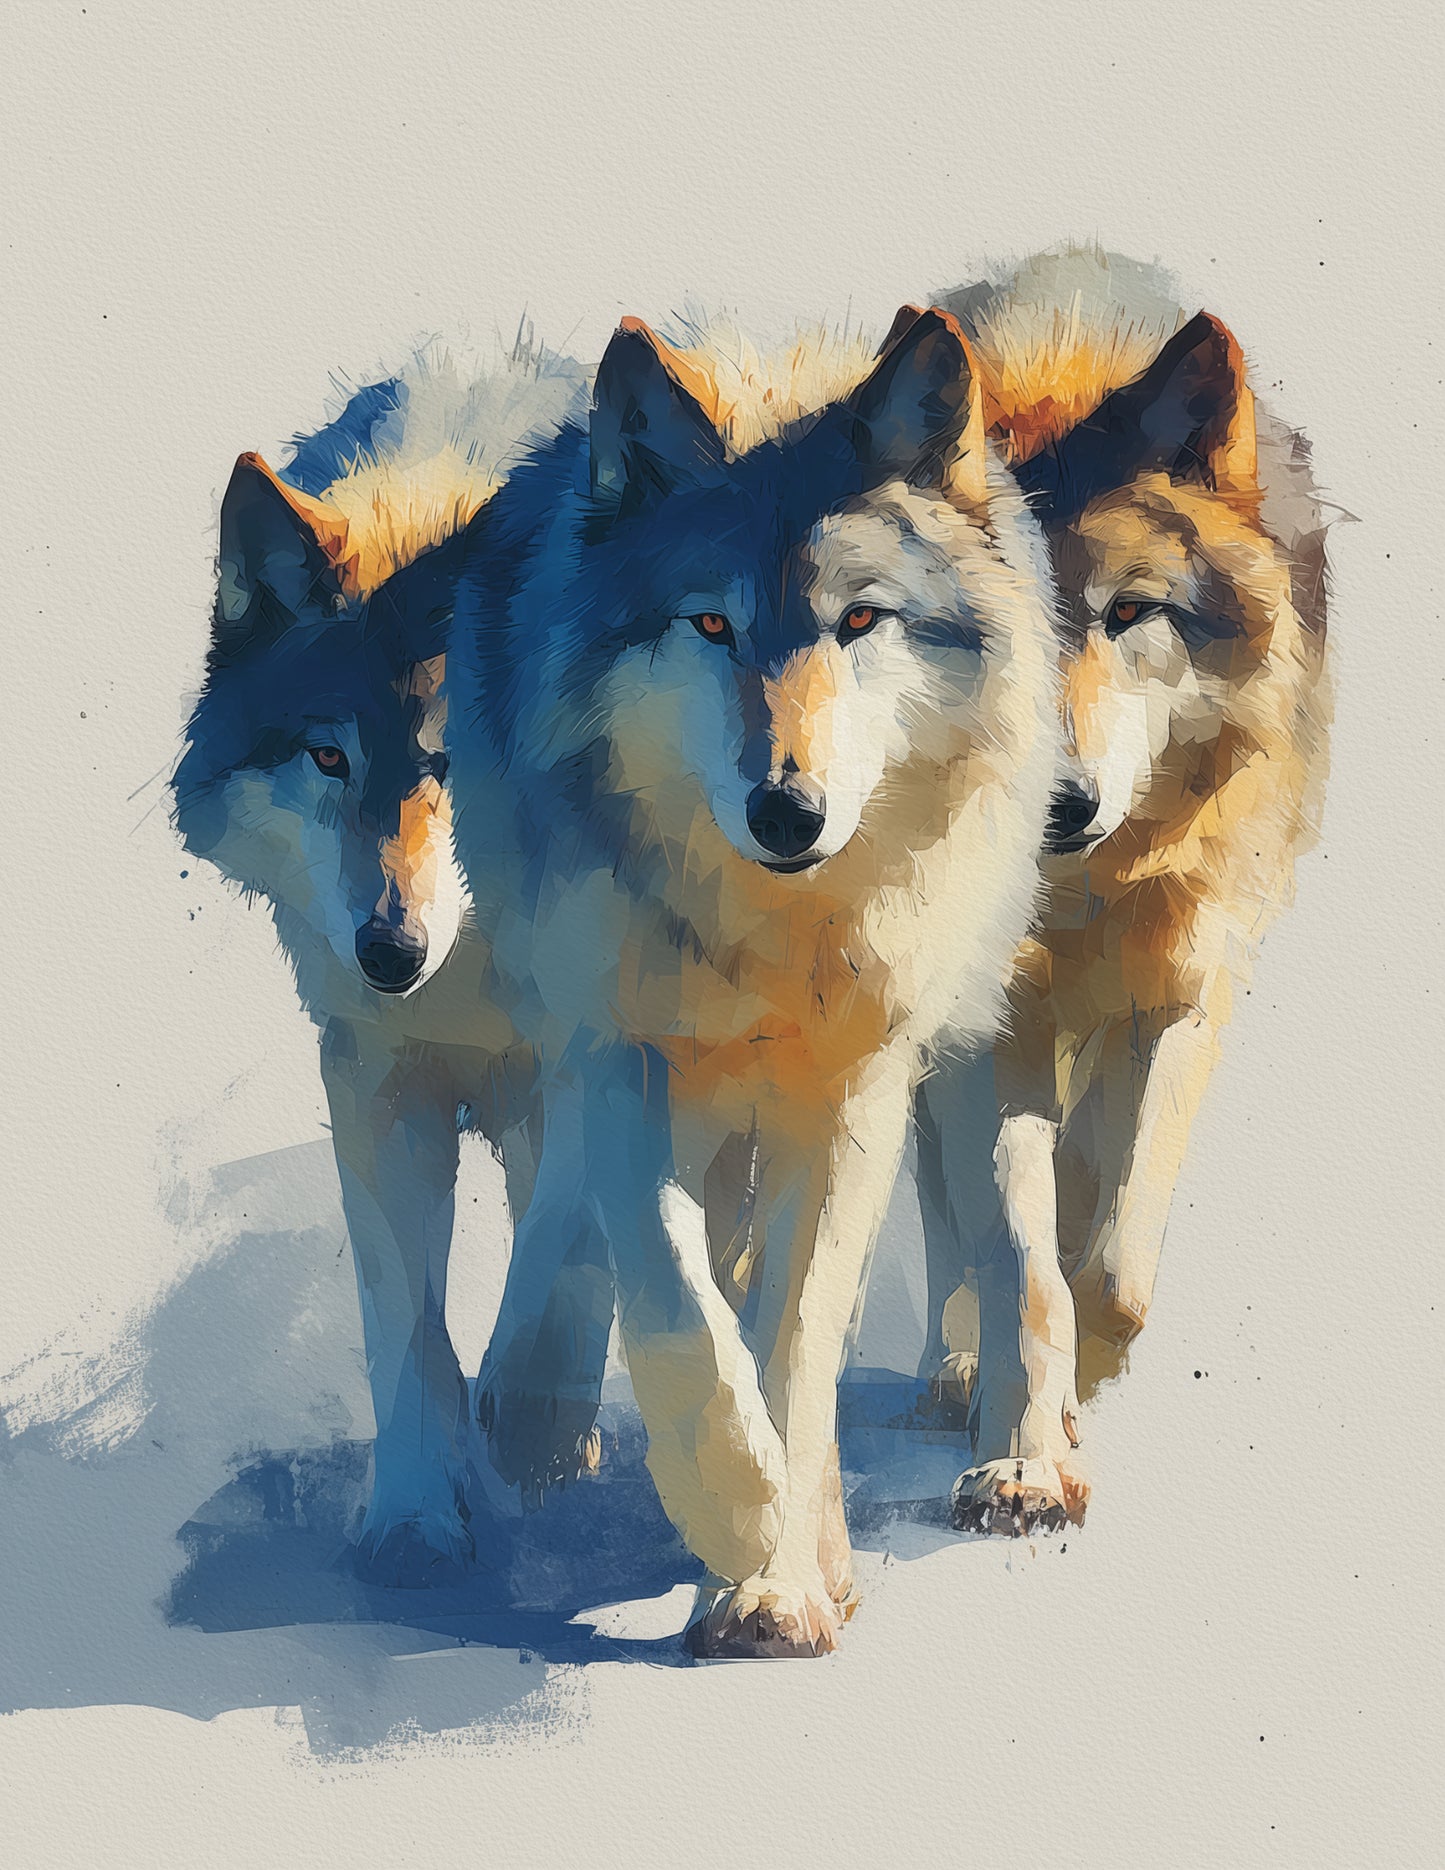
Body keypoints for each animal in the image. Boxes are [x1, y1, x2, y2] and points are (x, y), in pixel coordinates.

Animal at [172, 340, 616, 1581]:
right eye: (329, 758)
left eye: (452, 762)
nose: (388, 948)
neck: (473, 973)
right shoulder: (372, 1074)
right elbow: (401, 1321)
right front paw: (417, 1516)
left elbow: (567, 1239)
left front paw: (528, 1426)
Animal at [448, 304, 1062, 1655]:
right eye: (711, 625)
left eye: (859, 621)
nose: (787, 810)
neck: (774, 933)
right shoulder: (624, 1060)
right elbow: (680, 1314)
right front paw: (740, 1521)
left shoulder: (854, 1094)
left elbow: (795, 1335)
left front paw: (780, 1575)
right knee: (574, 1218)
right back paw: (531, 1404)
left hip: (965, 1046)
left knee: (1004, 1262)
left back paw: (987, 1479)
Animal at [912, 248, 1332, 1532]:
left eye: (1126, 612)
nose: (1058, 807)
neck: (1076, 900)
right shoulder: (976, 1029)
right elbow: (1017, 1262)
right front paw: (1020, 1461)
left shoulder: (1180, 993)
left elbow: (1103, 1268)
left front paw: (1074, 1397)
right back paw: (955, 1373)